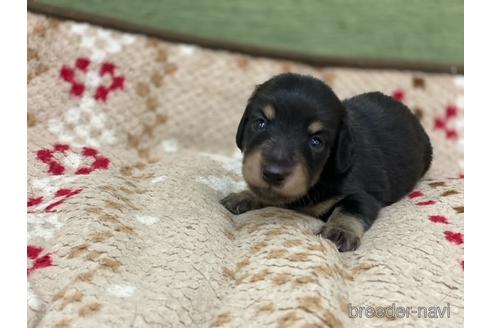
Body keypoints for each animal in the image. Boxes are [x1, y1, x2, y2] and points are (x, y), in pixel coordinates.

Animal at [221, 72, 432, 251]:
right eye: (260, 123)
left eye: (316, 141)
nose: (273, 173)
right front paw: (244, 196)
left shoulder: (365, 196)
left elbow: (349, 209)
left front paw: (340, 231)